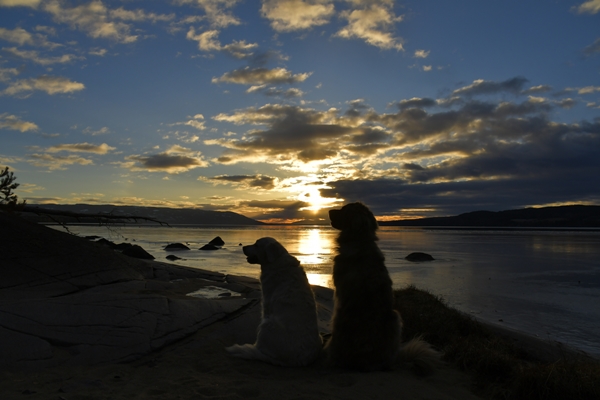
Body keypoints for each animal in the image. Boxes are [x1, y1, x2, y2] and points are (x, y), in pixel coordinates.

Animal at [225, 238, 324, 366]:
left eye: (257, 245)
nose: (243, 247)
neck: (276, 260)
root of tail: (297, 361)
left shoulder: (267, 302)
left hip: (268, 324)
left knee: (262, 350)